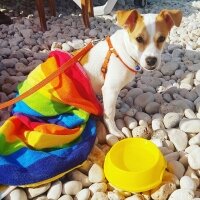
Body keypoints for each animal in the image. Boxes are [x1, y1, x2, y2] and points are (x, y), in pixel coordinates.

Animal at [80, 9, 183, 138]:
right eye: (139, 39)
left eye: (161, 38)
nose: (151, 60)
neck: (125, 51)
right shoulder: (110, 89)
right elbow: (110, 112)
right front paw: (113, 131)